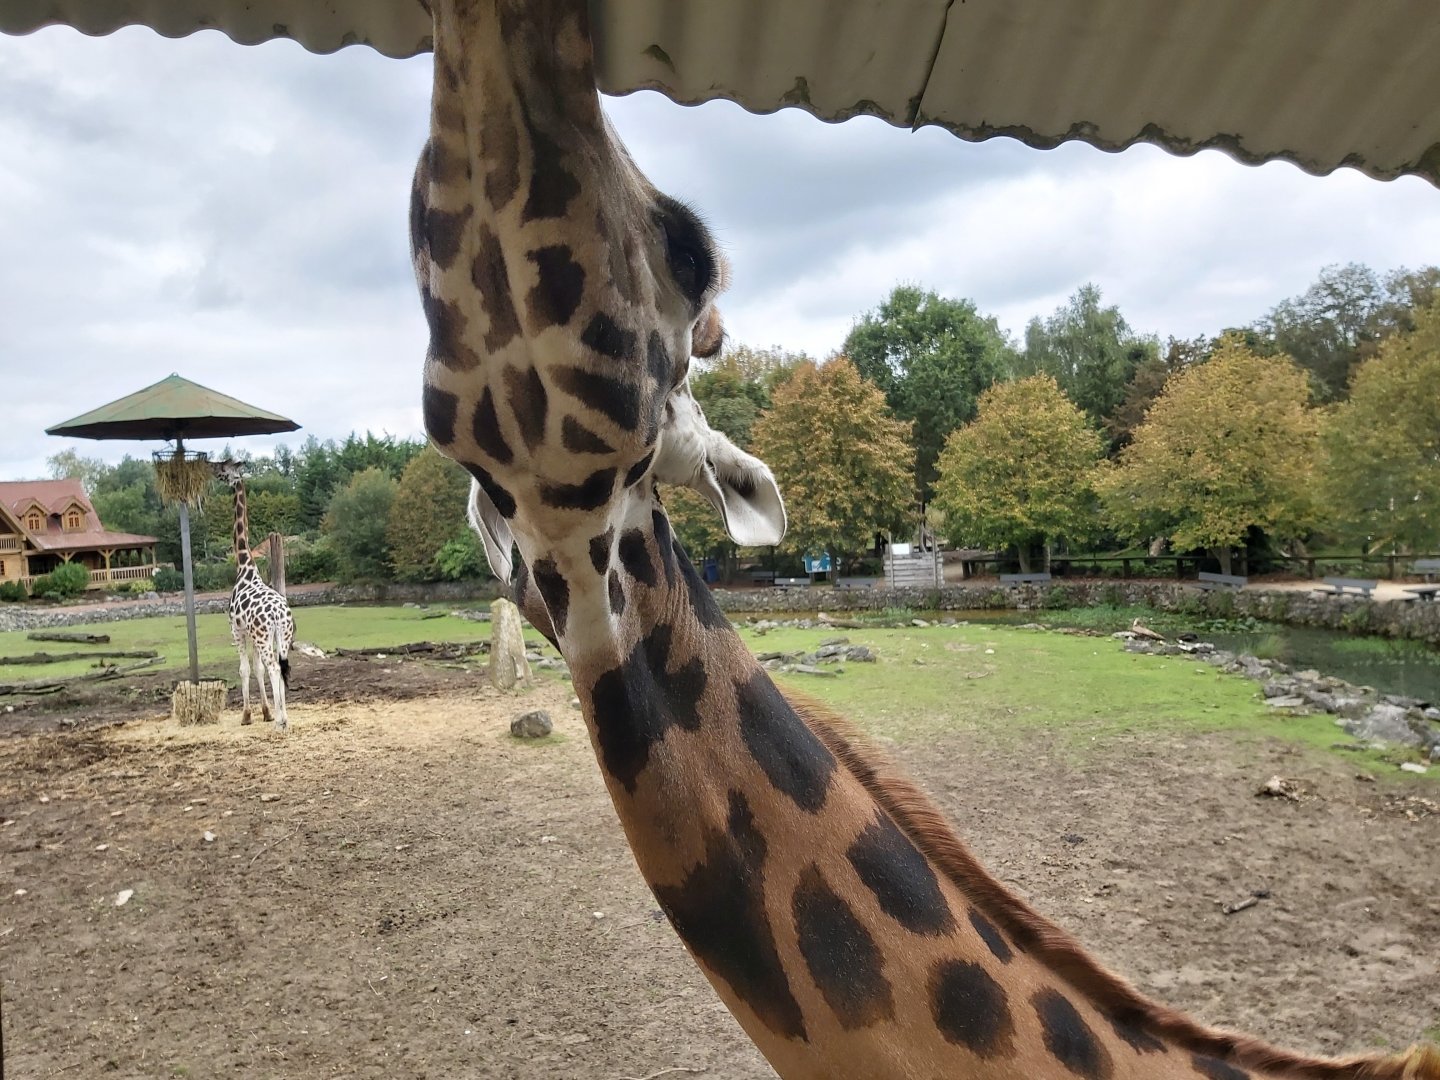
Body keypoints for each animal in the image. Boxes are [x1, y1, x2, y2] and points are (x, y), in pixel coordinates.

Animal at [212, 460, 295, 732]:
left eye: (223, 469)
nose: (213, 472)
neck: (244, 568)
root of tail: (279, 614)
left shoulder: (237, 630)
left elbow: (245, 669)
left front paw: (248, 715)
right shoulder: (251, 633)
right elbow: (257, 669)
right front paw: (266, 712)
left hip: (262, 636)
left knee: (274, 668)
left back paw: (281, 721)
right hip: (282, 636)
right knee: (281, 667)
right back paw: (283, 717)